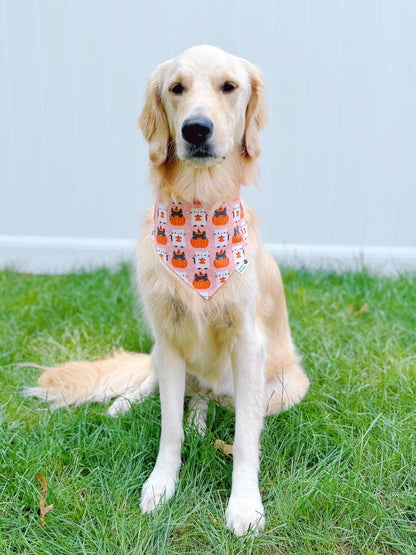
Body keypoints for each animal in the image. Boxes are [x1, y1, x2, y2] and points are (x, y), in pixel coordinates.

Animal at [25, 45, 308, 536]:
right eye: (177, 88)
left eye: (229, 87)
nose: (196, 128)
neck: (197, 210)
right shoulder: (170, 339)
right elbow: (168, 425)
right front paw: (161, 485)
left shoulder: (248, 344)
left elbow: (244, 438)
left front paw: (245, 505)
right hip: (161, 350)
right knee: (160, 383)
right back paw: (125, 403)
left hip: (288, 386)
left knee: (215, 401)